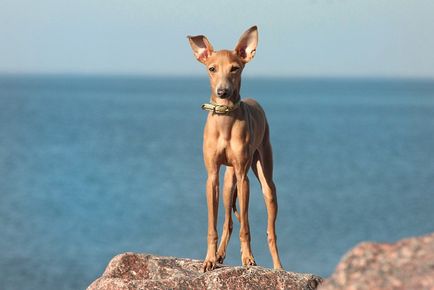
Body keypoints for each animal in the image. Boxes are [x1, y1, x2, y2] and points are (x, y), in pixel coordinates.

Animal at [187, 25, 284, 272]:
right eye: (211, 68)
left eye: (235, 68)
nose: (223, 92)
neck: (225, 119)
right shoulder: (212, 177)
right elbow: (213, 225)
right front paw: (210, 259)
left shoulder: (243, 177)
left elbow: (246, 227)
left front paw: (248, 258)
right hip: (228, 182)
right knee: (228, 222)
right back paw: (220, 254)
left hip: (264, 178)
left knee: (270, 231)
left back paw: (279, 267)